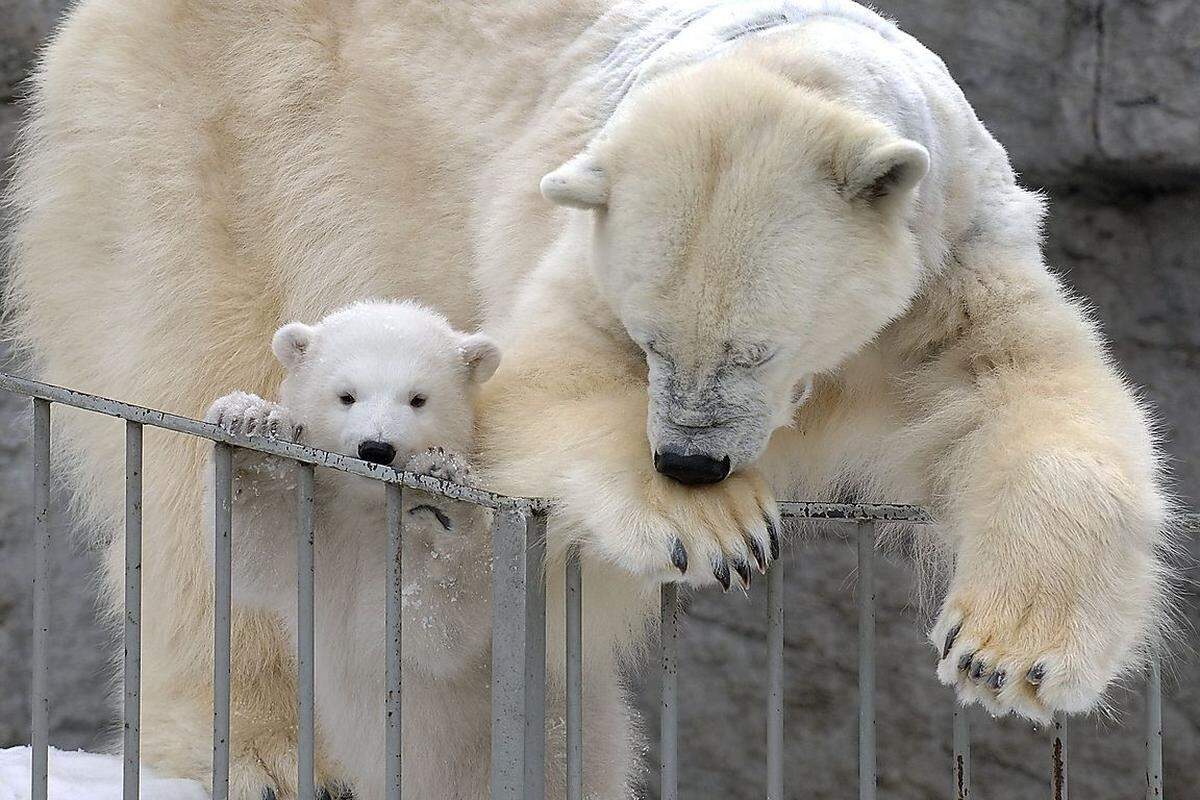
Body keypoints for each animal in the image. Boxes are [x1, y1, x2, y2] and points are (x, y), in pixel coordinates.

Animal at [7, 0, 1171, 796]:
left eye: (757, 345)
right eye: (650, 339)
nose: (691, 461)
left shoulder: (950, 258)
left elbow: (1032, 400)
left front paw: (1005, 651)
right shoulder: (580, 223)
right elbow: (547, 388)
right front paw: (718, 530)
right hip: (212, 165)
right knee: (192, 443)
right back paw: (265, 747)